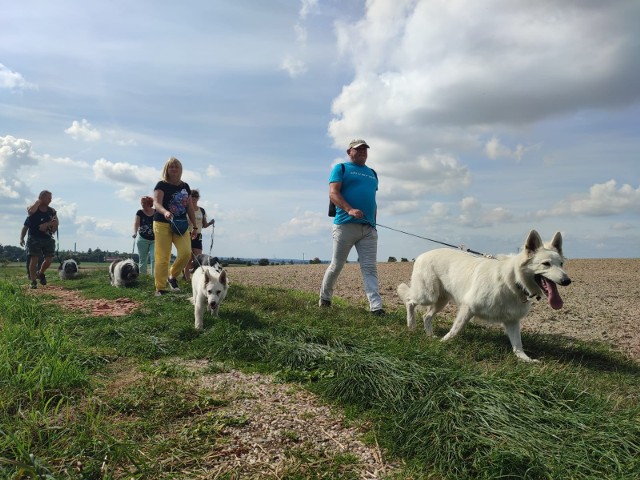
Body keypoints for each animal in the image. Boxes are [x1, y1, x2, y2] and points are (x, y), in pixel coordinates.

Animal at [398, 231, 572, 362]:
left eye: (561, 264)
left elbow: (517, 344)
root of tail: (422, 255)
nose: (567, 281)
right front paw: (443, 343)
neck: (512, 281)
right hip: (428, 295)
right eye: (546, 264)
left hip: (441, 301)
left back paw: (430, 335)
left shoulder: (512, 320)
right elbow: (455, 329)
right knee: (409, 301)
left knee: (426, 316)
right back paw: (411, 324)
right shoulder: (468, 308)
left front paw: (525, 359)